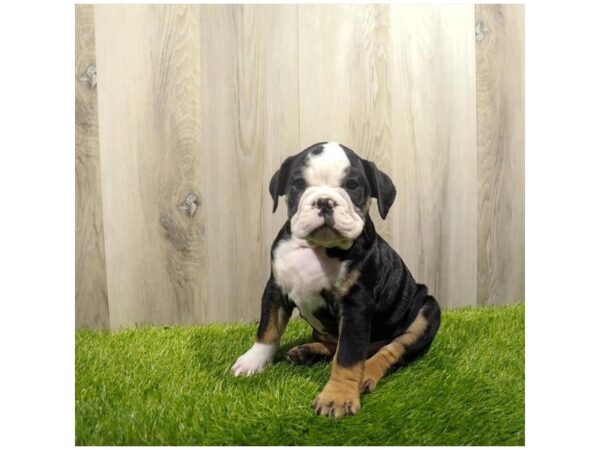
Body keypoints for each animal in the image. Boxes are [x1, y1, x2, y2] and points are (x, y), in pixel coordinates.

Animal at [231, 142, 440, 418]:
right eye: (298, 184)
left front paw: (337, 397)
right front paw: (253, 361)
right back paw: (306, 351)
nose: (324, 201)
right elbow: (268, 328)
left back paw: (366, 374)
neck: (318, 248)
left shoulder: (356, 306)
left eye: (352, 185)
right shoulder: (275, 289)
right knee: (336, 342)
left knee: (390, 349)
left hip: (428, 309)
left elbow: (348, 355)